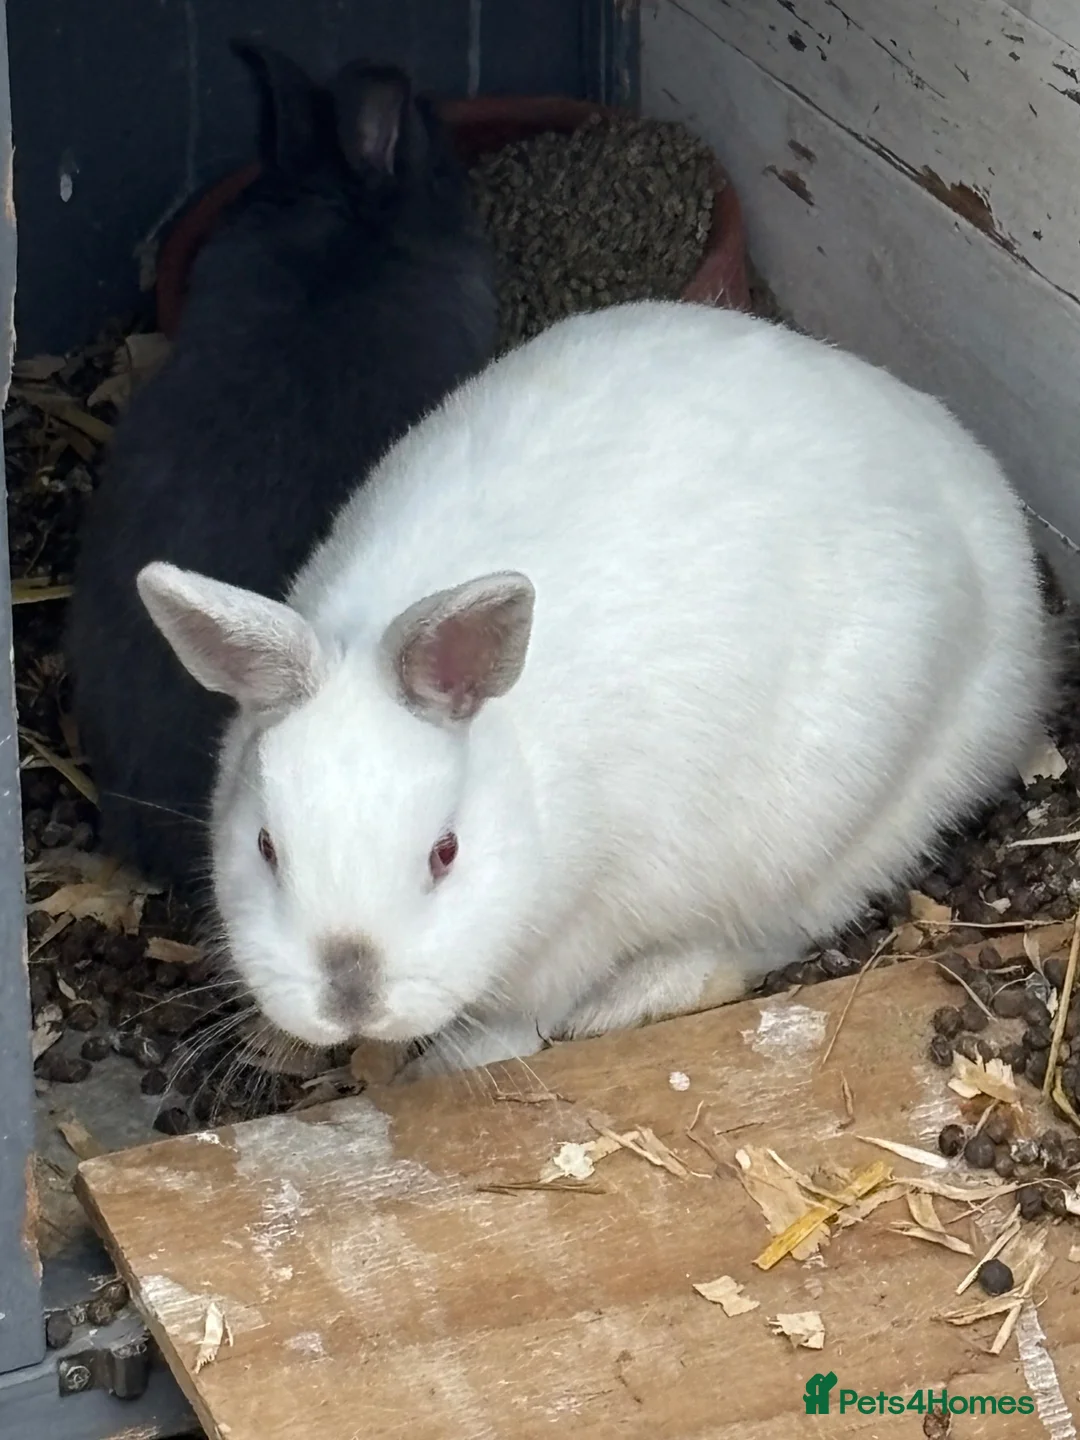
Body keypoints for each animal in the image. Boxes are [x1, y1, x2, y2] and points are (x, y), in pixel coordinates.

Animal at [136, 299, 1053, 1074]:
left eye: (446, 852)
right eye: (265, 848)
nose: (350, 996)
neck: (526, 782)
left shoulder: (579, 925)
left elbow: (518, 1017)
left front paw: (451, 1062)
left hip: (836, 824)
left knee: (773, 929)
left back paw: (637, 997)